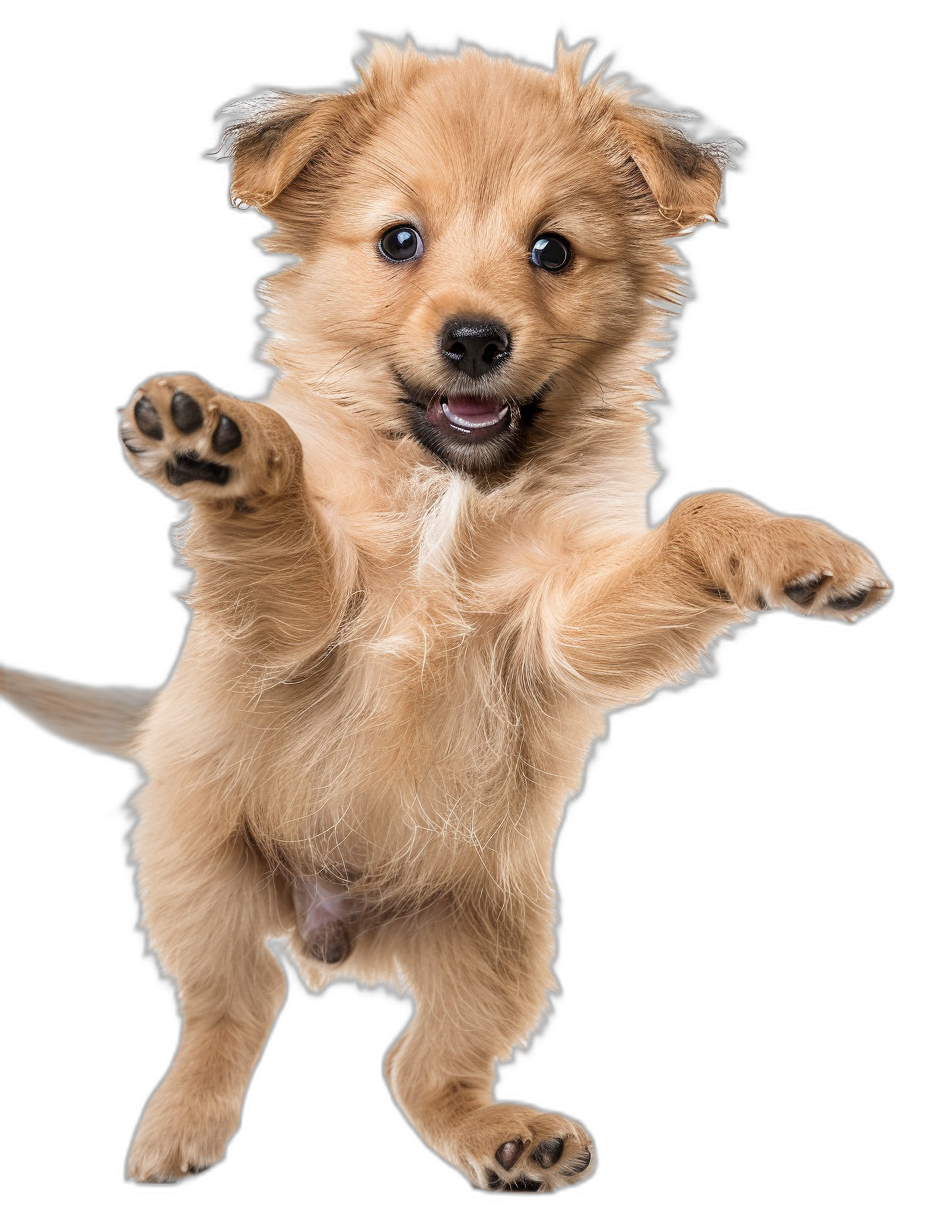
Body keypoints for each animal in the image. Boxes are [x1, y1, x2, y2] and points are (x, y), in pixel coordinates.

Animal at [0, 38, 892, 1192]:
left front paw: (796, 550)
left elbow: (699, 514)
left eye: (552, 251)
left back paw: (508, 1137)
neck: (448, 498)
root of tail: (337, 929)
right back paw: (180, 1125)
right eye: (399, 241)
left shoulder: (563, 628)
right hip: (197, 872)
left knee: (418, 1067)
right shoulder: (298, 625)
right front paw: (231, 445)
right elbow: (288, 525)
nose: (474, 340)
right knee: (235, 1004)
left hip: (502, 938)